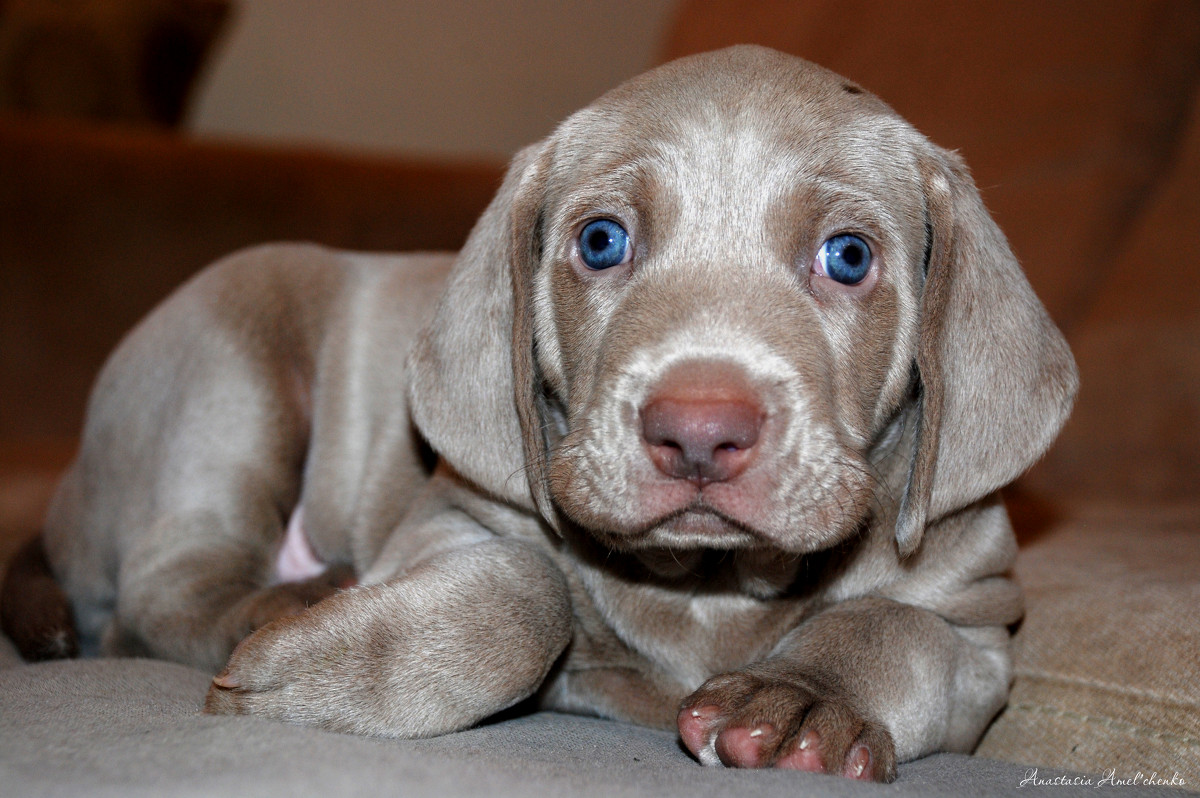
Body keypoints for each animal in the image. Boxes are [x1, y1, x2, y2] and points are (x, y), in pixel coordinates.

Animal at [2, 46, 1080, 782]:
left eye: (849, 257)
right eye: (601, 241)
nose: (699, 431)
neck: (711, 586)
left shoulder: (980, 624)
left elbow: (897, 632)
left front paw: (803, 700)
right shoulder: (454, 515)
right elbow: (530, 592)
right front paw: (329, 672)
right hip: (230, 355)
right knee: (152, 595)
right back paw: (289, 604)